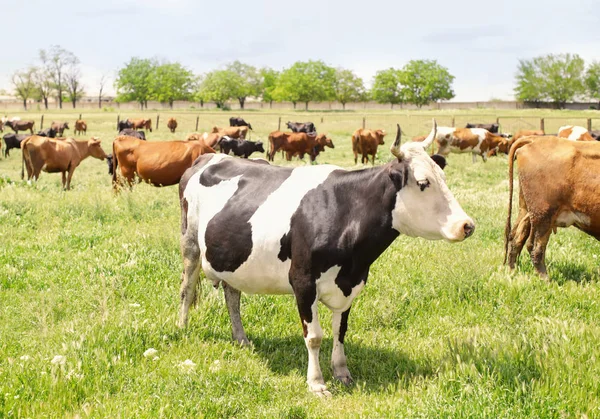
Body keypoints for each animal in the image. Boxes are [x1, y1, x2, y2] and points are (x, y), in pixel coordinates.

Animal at [176, 119, 476, 398]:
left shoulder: (351, 284)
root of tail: (207, 157)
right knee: (187, 288)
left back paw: (241, 339)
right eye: (424, 183)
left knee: (232, 294)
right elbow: (314, 336)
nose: (467, 225)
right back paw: (182, 327)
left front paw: (342, 372)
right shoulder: (303, 281)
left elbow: (340, 331)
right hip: (190, 242)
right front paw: (317, 382)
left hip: (231, 254)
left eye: (443, 177)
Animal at [506, 136, 600, 278]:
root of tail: (535, 139)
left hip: (527, 210)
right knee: (535, 248)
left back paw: (512, 271)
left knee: (516, 237)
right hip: (543, 215)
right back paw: (545, 279)